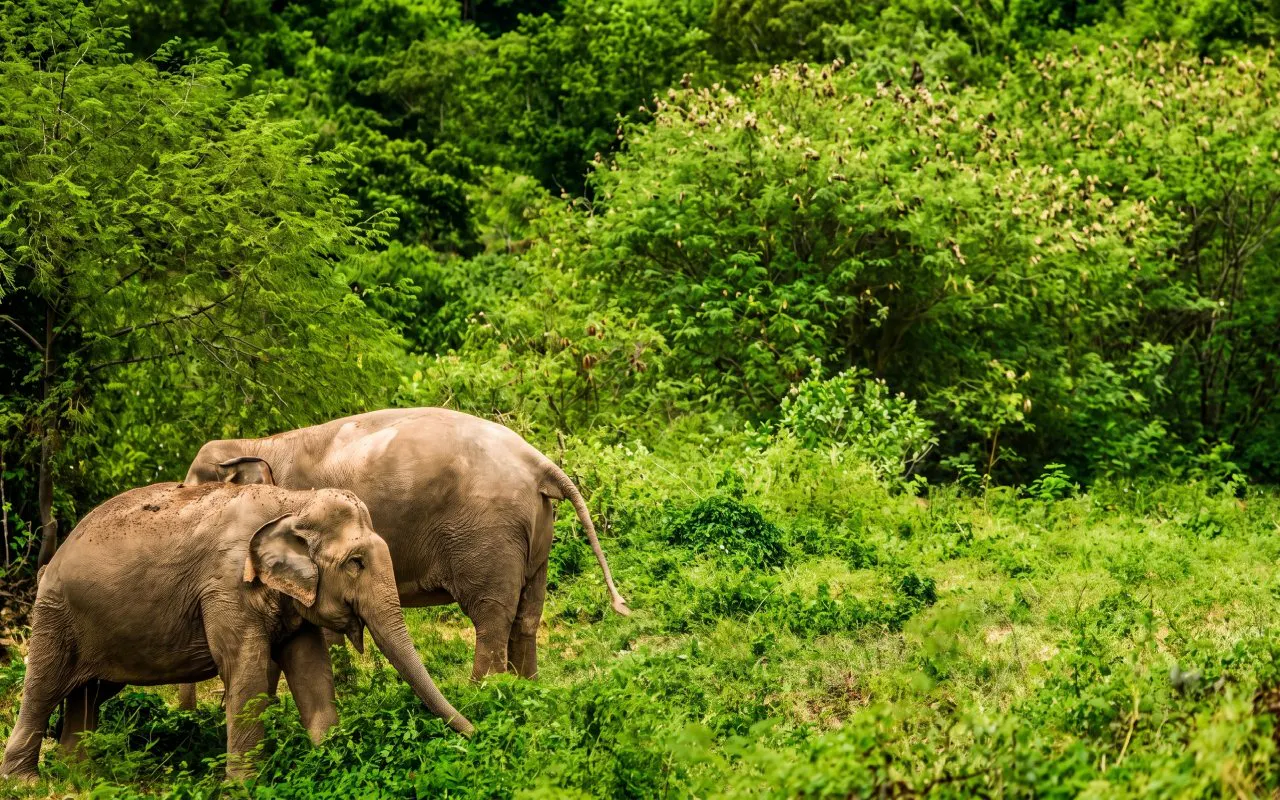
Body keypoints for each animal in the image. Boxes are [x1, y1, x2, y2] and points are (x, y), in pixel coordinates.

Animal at [0, 482, 472, 782]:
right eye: (356, 562)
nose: (475, 733)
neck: (293, 500)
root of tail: (53, 557)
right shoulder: (226, 587)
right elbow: (245, 672)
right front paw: (243, 787)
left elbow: (312, 672)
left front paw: (332, 759)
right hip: (55, 614)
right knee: (43, 687)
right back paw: (27, 782)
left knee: (89, 691)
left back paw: (80, 774)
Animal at [177, 408, 628, 711]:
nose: (193, 713)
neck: (256, 444)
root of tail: (540, 462)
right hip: (537, 530)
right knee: (528, 613)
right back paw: (528, 689)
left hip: (488, 534)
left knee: (492, 614)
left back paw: (483, 693)